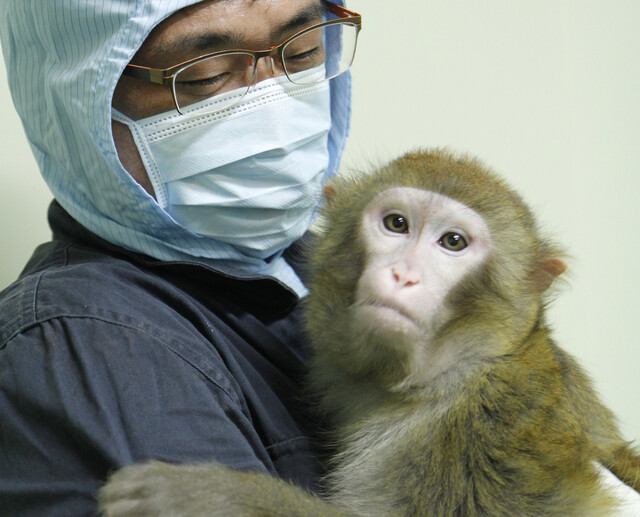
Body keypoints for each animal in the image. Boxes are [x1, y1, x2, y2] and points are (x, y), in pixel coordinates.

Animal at [100, 147, 640, 512]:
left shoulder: (479, 438)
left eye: (453, 242)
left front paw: (207, 495)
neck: (441, 379)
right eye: (396, 224)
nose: (404, 274)